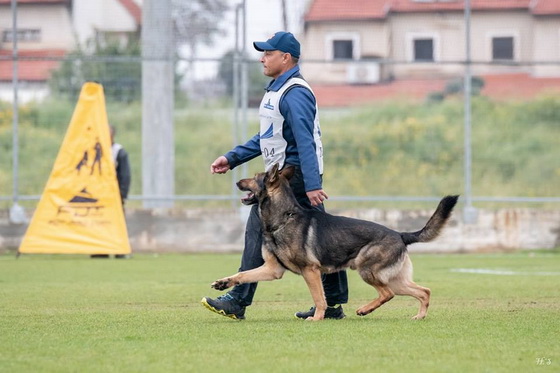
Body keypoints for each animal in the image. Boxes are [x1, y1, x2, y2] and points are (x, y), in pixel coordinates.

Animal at [212, 164, 458, 322]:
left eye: (254, 177)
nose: (237, 181)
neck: (283, 217)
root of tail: (400, 234)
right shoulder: (273, 270)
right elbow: (243, 275)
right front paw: (223, 283)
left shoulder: (310, 271)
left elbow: (319, 298)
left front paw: (317, 318)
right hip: (394, 278)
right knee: (423, 291)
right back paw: (419, 316)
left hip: (368, 271)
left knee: (387, 293)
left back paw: (364, 310)